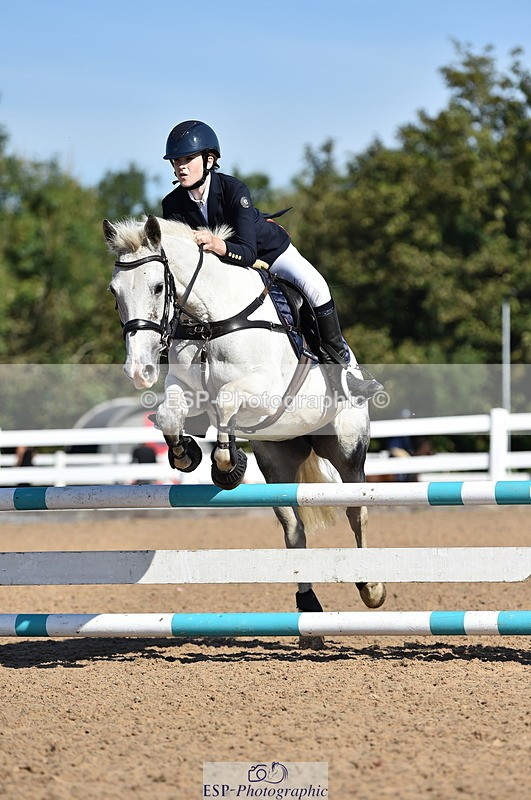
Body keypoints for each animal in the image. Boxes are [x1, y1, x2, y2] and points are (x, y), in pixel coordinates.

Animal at [104, 214, 386, 646]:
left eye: (157, 287)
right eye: (114, 292)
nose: (139, 372)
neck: (209, 319)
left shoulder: (266, 390)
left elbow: (226, 401)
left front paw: (227, 466)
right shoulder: (186, 388)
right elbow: (171, 416)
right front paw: (186, 454)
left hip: (347, 450)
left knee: (357, 511)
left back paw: (370, 587)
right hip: (276, 459)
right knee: (293, 530)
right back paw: (309, 614)